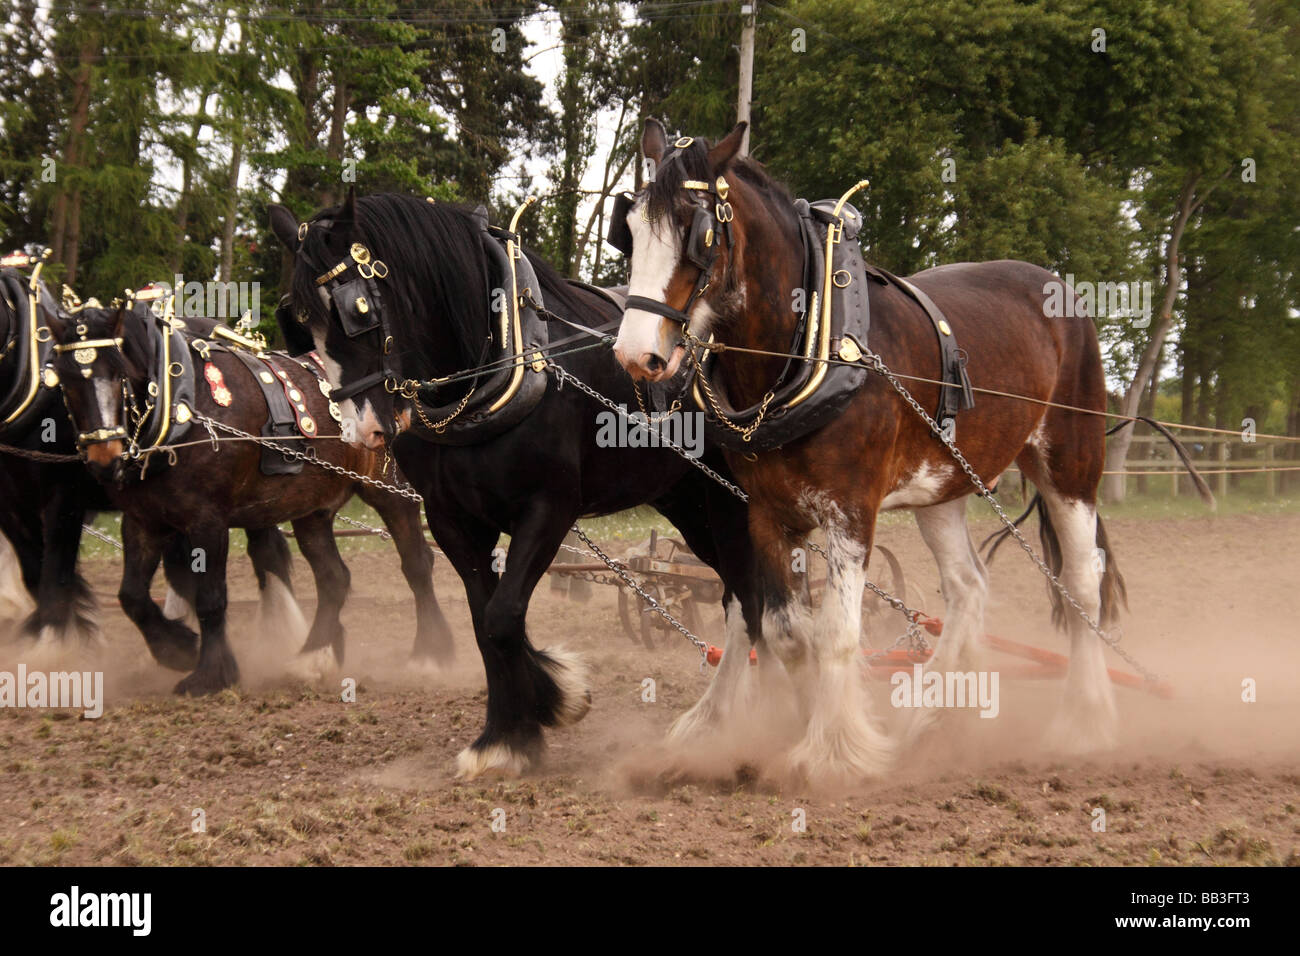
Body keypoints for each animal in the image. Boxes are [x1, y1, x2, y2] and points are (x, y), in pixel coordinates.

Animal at [270, 192, 764, 780]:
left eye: (357, 310)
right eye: (300, 322)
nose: (359, 429)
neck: (496, 364)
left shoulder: (549, 509)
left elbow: (504, 617)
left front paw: (528, 721)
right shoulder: (454, 520)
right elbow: (485, 621)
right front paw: (520, 722)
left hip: (731, 501)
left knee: (755, 596)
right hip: (687, 502)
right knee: (739, 594)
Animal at [613, 123, 1133, 790]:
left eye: (697, 234)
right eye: (631, 229)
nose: (636, 353)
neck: (804, 348)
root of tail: (1063, 290)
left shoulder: (851, 509)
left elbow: (836, 631)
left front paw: (833, 752)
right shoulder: (766, 512)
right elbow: (786, 632)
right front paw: (797, 726)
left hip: (1070, 463)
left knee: (1082, 584)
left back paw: (1083, 722)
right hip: (942, 486)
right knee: (968, 588)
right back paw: (928, 719)